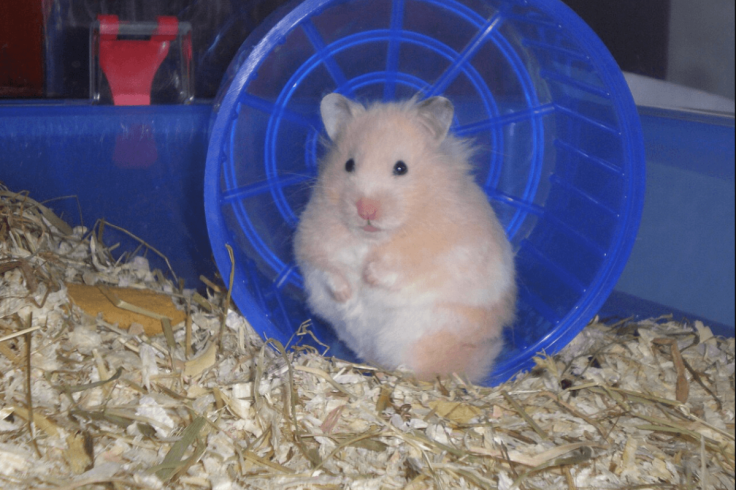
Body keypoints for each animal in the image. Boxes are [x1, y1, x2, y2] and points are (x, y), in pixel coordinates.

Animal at [293, 93, 516, 383]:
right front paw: (346, 294)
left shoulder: (445, 254)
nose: (366, 209)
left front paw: (368, 276)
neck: (372, 238)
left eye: (401, 168)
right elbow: (330, 269)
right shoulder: (312, 243)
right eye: (348, 165)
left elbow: (402, 268)